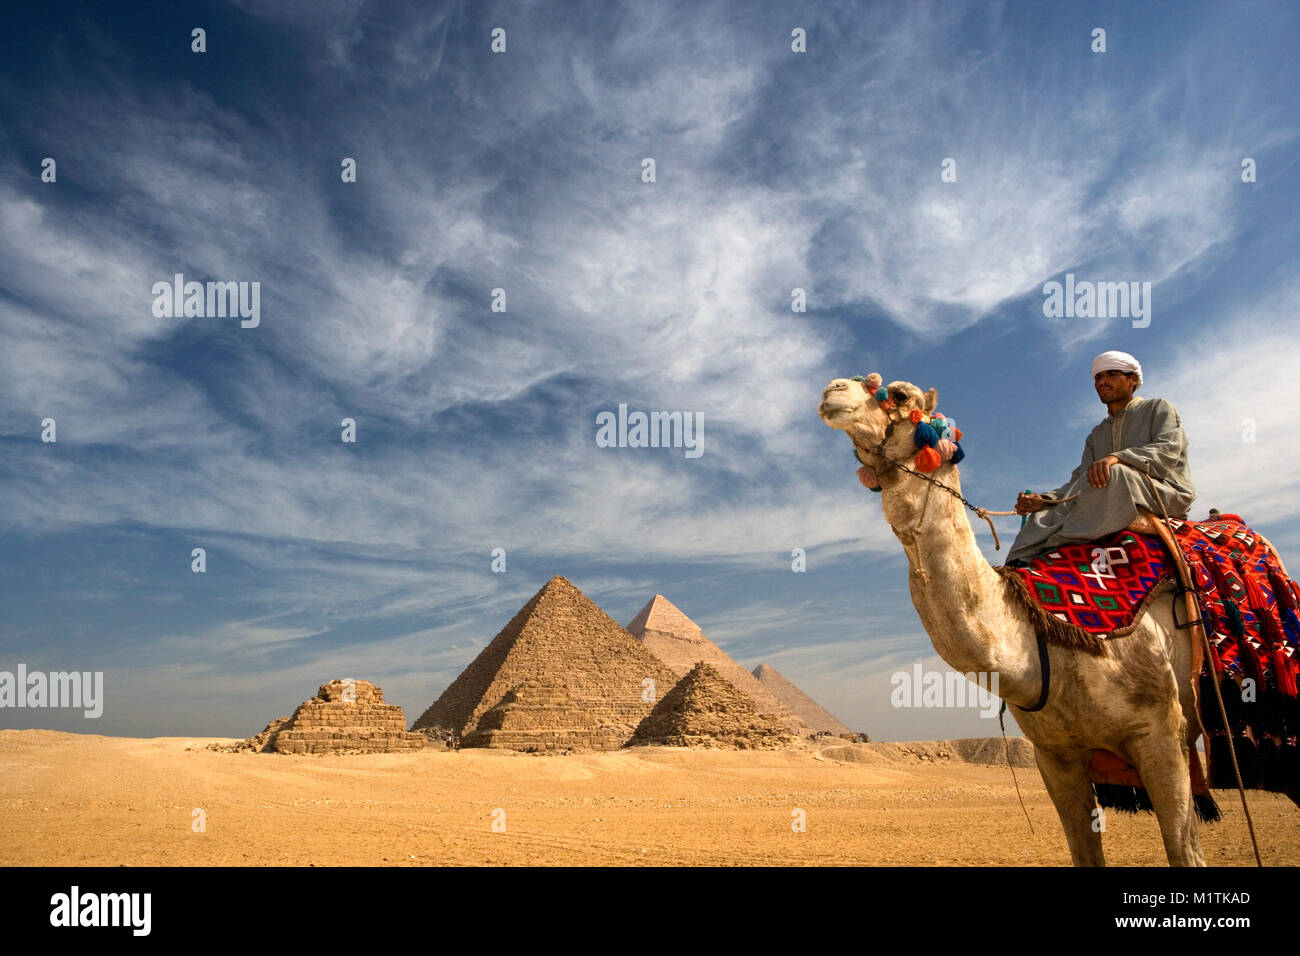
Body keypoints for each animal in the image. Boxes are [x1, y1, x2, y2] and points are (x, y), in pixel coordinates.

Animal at [819, 374, 1207, 866]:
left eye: (900, 395)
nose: (833, 389)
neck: (1041, 644)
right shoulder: (1055, 754)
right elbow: (1084, 850)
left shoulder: (1162, 732)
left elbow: (1185, 850)